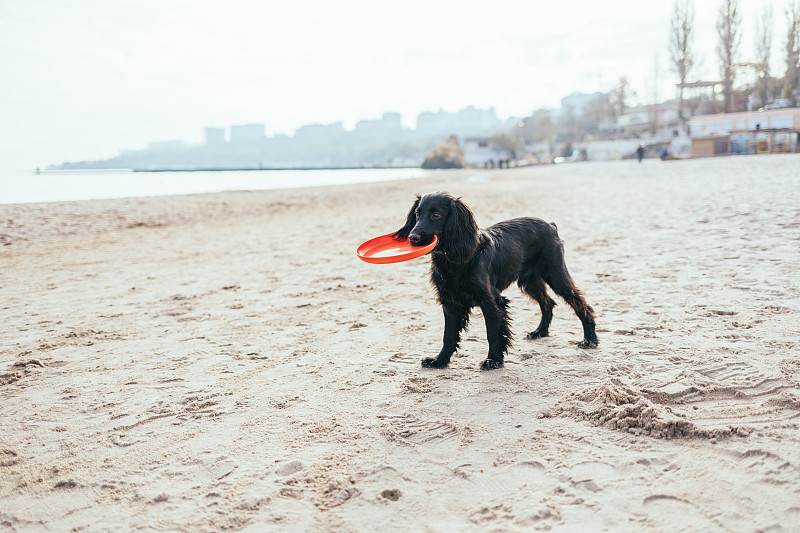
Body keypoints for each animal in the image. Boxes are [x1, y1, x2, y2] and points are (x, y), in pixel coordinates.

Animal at [396, 191, 596, 370]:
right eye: (417, 214)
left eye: (436, 215)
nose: (413, 238)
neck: (455, 261)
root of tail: (550, 225)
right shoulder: (450, 302)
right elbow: (449, 335)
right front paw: (439, 361)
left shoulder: (491, 301)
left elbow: (492, 333)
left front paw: (493, 360)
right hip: (530, 281)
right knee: (548, 302)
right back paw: (540, 332)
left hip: (556, 276)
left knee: (580, 303)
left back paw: (590, 339)